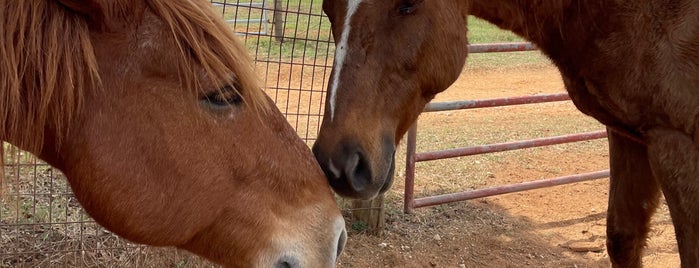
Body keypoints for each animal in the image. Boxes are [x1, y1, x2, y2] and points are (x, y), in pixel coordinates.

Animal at [314, 0, 699, 266]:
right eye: (327, 7)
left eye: (408, 3)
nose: (338, 163)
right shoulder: (629, 135)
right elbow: (622, 239)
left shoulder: (676, 144)